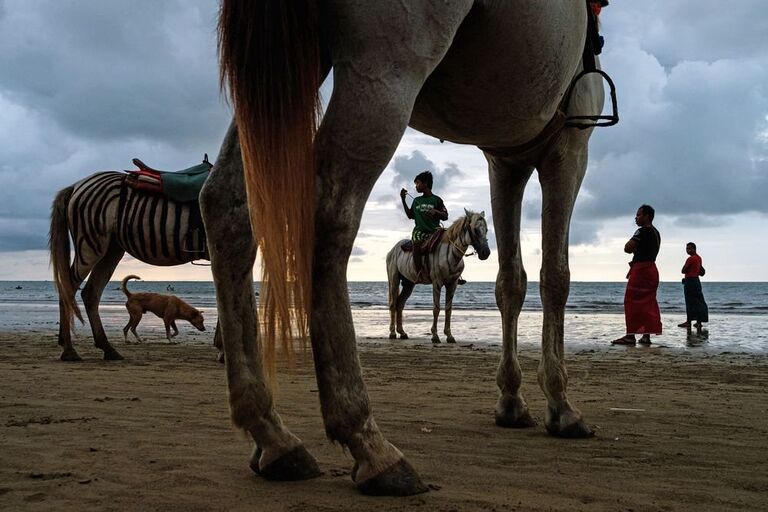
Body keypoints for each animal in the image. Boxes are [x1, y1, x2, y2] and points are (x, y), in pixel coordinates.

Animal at [388, 208, 488, 344]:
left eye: (486, 229)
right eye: (476, 230)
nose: (486, 253)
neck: (450, 253)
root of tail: (393, 250)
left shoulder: (452, 284)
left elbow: (448, 309)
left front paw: (449, 335)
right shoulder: (437, 283)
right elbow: (436, 308)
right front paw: (435, 336)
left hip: (409, 284)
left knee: (400, 304)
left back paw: (402, 332)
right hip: (394, 280)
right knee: (393, 304)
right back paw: (393, 333)